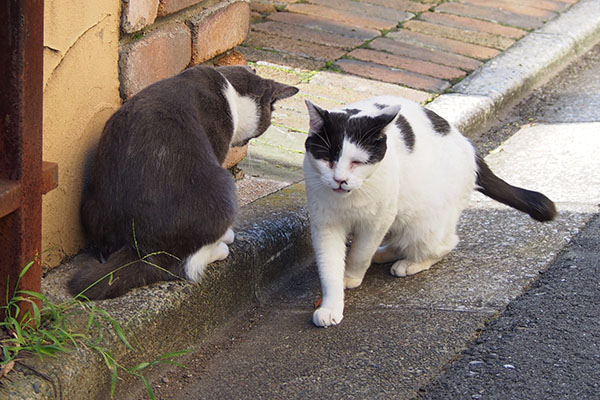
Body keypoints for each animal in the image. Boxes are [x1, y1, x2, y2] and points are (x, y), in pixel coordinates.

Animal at [69, 65, 298, 298]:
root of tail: (140, 249)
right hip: (222, 187)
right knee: (183, 266)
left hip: (92, 206)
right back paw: (221, 247)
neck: (230, 89)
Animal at [302, 95, 556, 326]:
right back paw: (385, 253)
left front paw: (351, 276)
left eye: (357, 162)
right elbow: (329, 267)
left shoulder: (379, 219)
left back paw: (410, 263)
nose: (340, 180)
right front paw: (331, 305)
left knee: (444, 244)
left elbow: (360, 254)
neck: (349, 199)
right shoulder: (325, 223)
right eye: (327, 159)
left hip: (425, 222)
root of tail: (470, 148)